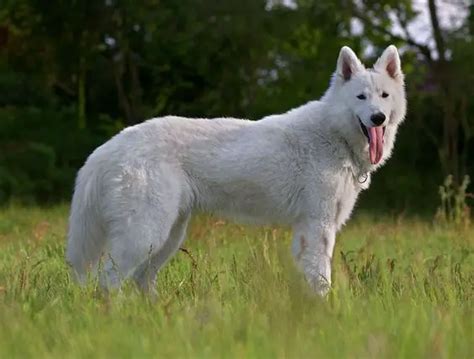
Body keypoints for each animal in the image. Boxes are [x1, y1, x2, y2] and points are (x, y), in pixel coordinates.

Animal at [66, 46, 408, 296]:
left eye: (384, 96)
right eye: (360, 97)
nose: (377, 118)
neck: (334, 135)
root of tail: (110, 146)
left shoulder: (307, 230)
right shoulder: (317, 227)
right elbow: (320, 279)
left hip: (168, 236)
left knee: (140, 281)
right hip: (146, 234)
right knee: (108, 283)